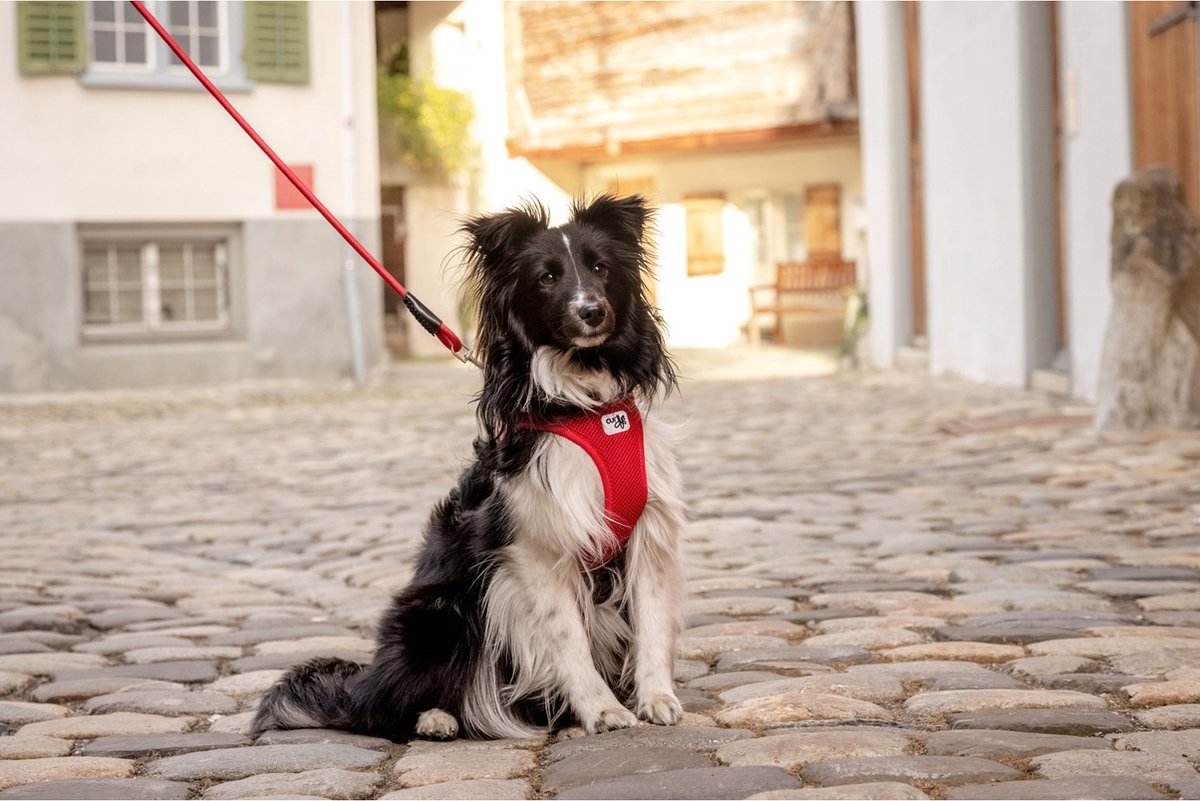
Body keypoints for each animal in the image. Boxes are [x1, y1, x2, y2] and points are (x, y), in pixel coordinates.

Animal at [253, 195, 686, 743]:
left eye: (601, 269)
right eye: (546, 277)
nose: (592, 311)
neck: (584, 407)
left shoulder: (649, 535)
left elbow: (653, 625)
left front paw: (657, 700)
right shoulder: (534, 546)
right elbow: (567, 637)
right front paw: (602, 711)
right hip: (437, 617)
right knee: (381, 710)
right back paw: (435, 718)